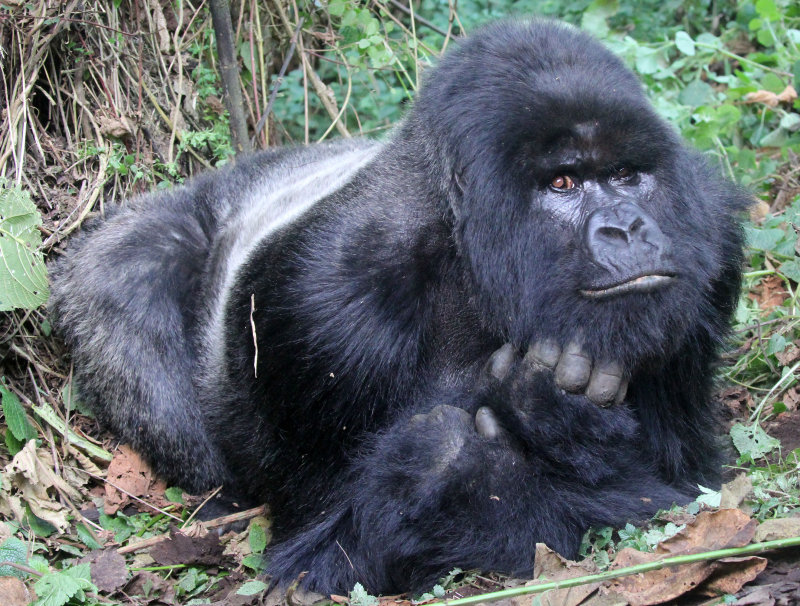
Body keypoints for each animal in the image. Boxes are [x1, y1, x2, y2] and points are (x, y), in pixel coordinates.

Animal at [53, 20, 748, 600]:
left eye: (628, 175)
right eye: (563, 183)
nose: (627, 229)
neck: (466, 247)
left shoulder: (710, 233)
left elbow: (680, 483)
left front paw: (553, 419)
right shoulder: (326, 302)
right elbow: (328, 550)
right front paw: (515, 435)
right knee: (129, 278)